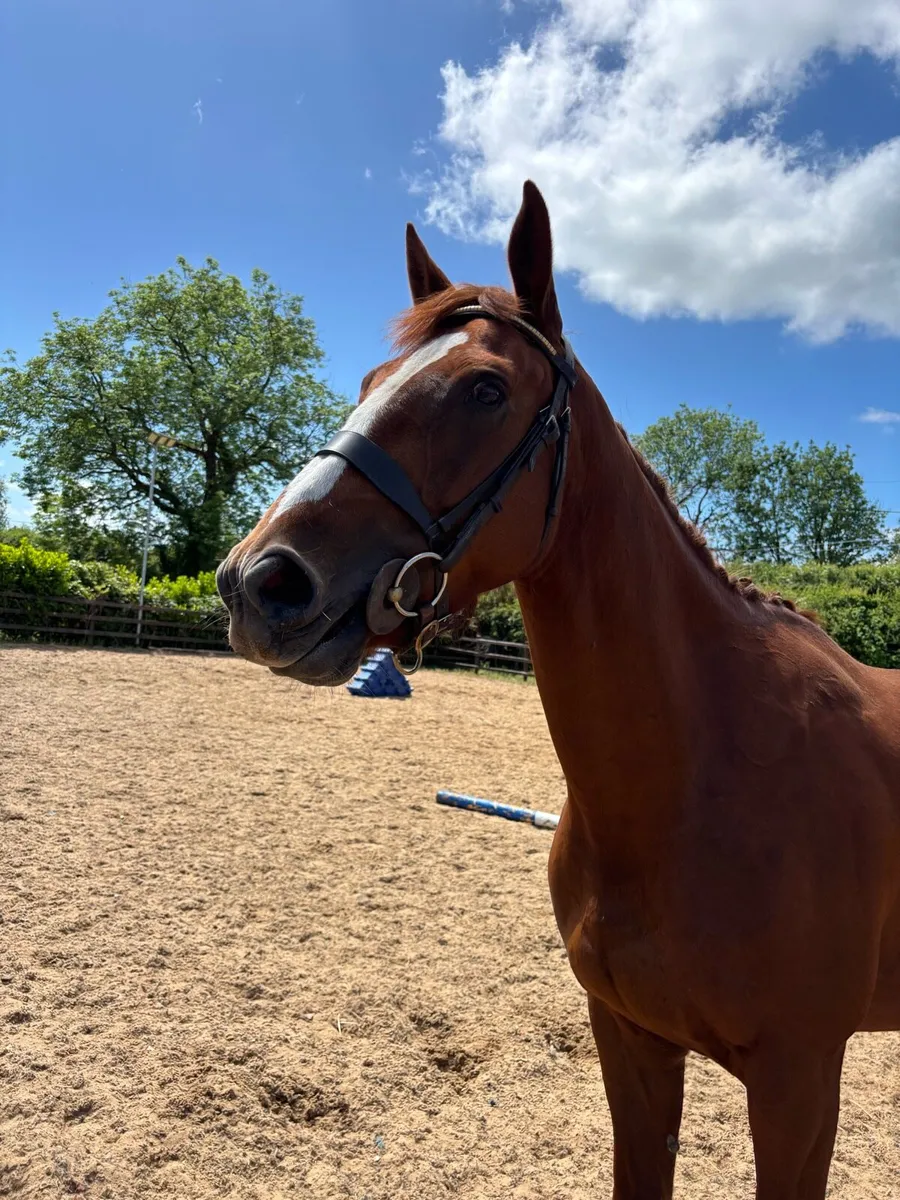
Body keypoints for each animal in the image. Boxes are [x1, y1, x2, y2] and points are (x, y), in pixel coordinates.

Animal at [216, 181, 900, 1199]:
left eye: (485, 390)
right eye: (372, 381)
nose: (261, 583)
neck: (696, 782)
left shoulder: (799, 1085)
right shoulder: (633, 1046)